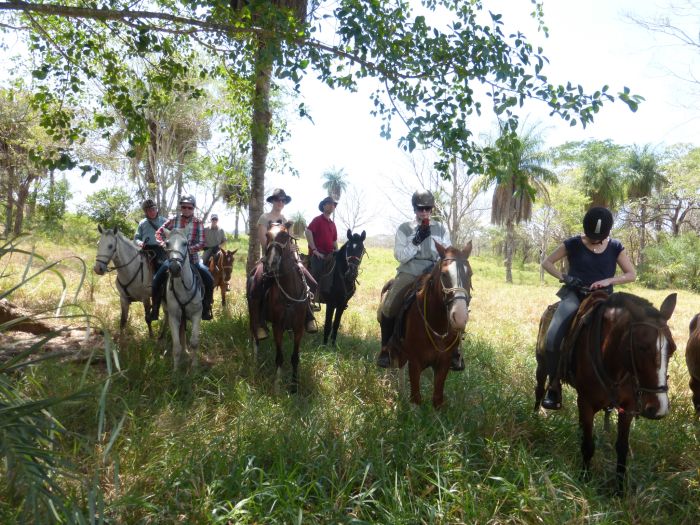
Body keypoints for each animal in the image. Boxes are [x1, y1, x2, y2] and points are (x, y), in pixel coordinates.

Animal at [165, 228, 205, 368]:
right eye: (167, 243)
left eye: (185, 243)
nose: (174, 268)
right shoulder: (173, 317)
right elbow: (176, 346)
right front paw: (176, 369)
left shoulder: (197, 314)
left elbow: (194, 342)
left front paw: (194, 366)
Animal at [246, 221, 312, 388]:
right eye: (267, 235)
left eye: (284, 235)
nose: (272, 263)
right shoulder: (278, 327)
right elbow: (279, 358)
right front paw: (277, 385)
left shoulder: (298, 328)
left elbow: (295, 358)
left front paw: (294, 386)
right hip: (253, 310)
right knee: (255, 336)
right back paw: (254, 364)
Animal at [380, 239, 474, 408]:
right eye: (444, 274)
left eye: (470, 274)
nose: (460, 317)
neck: (437, 324)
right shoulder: (415, 363)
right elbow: (416, 399)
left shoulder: (444, 363)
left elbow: (437, 398)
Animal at [532, 290, 676, 492]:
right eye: (642, 347)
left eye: (672, 349)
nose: (659, 408)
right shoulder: (585, 403)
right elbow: (587, 445)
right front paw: (584, 479)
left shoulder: (628, 407)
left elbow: (622, 448)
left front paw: (620, 490)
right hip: (542, 365)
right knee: (539, 390)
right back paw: (535, 418)